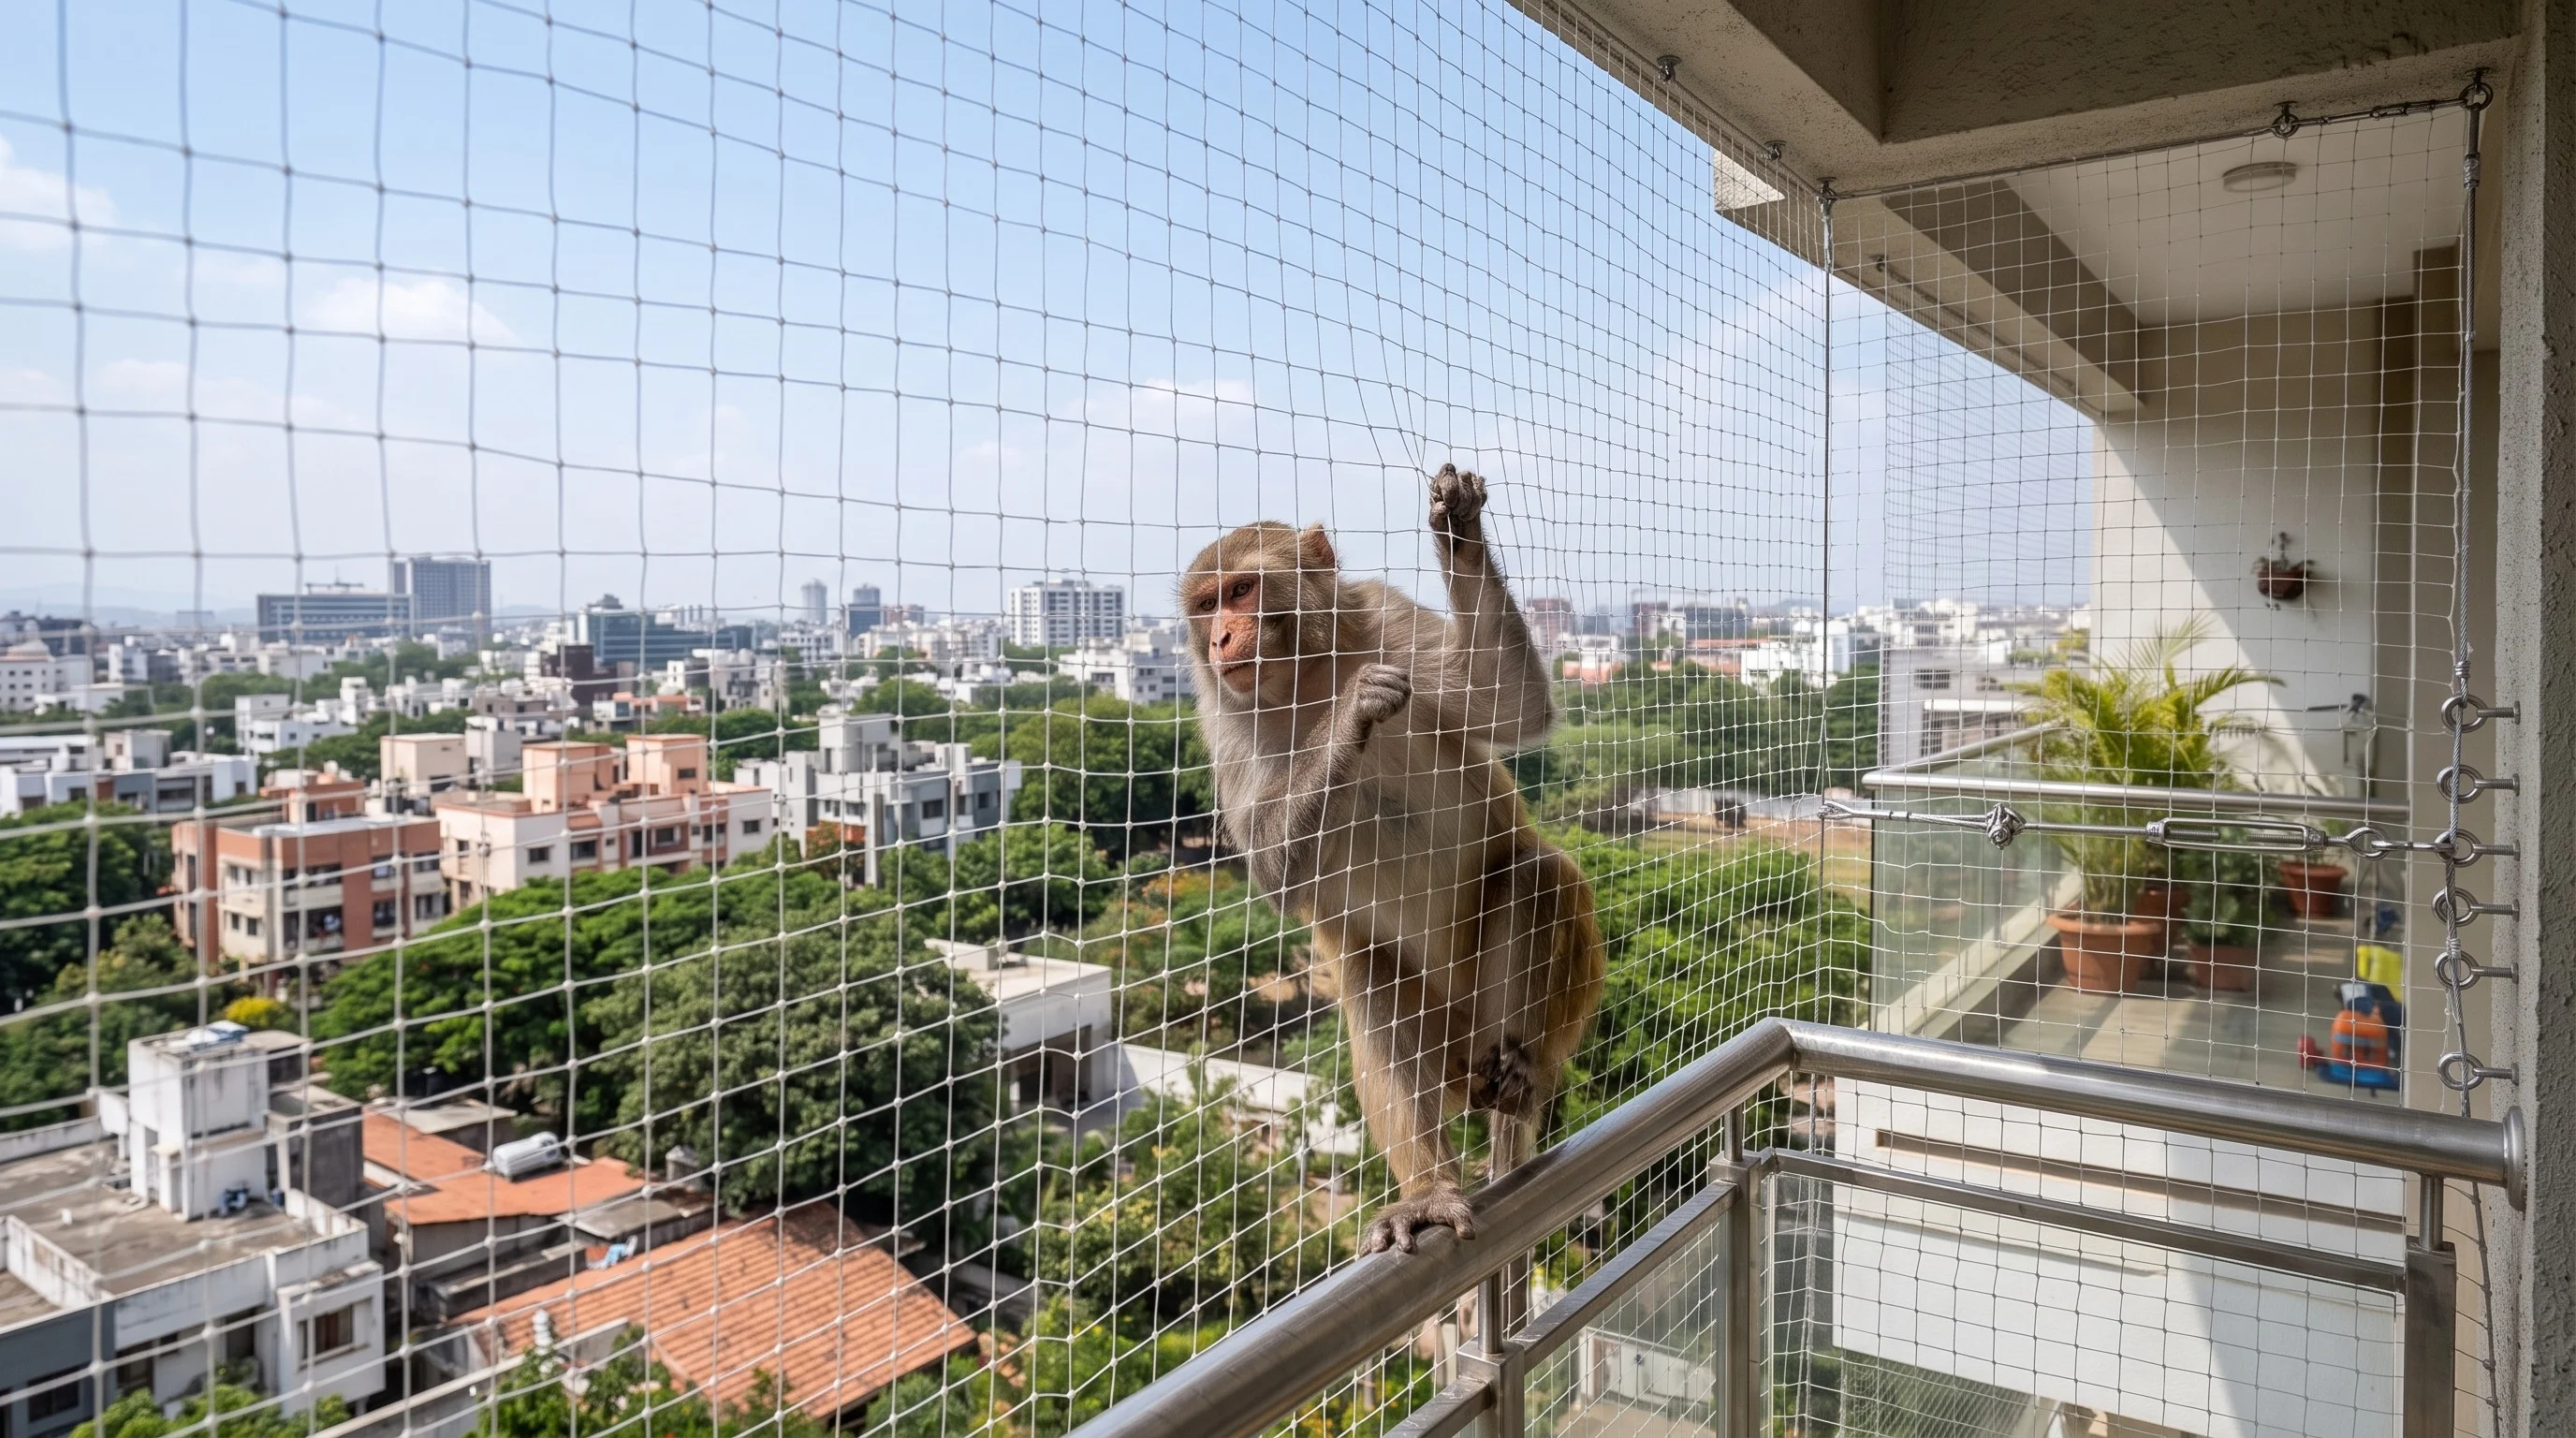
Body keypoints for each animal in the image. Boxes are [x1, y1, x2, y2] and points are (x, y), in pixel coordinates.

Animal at [1180, 464, 1604, 1255]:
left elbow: (1508, 705)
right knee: (1369, 976)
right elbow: (1274, 874)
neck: (1308, 674)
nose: (1219, 638)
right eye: (1204, 604)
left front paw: (1458, 527)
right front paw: (1352, 714)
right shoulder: (1221, 713)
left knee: (1531, 874)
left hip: (1517, 1014)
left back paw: (1520, 1075)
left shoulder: (1388, 618)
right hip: (1434, 1035)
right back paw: (1430, 1188)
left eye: (1242, 590)